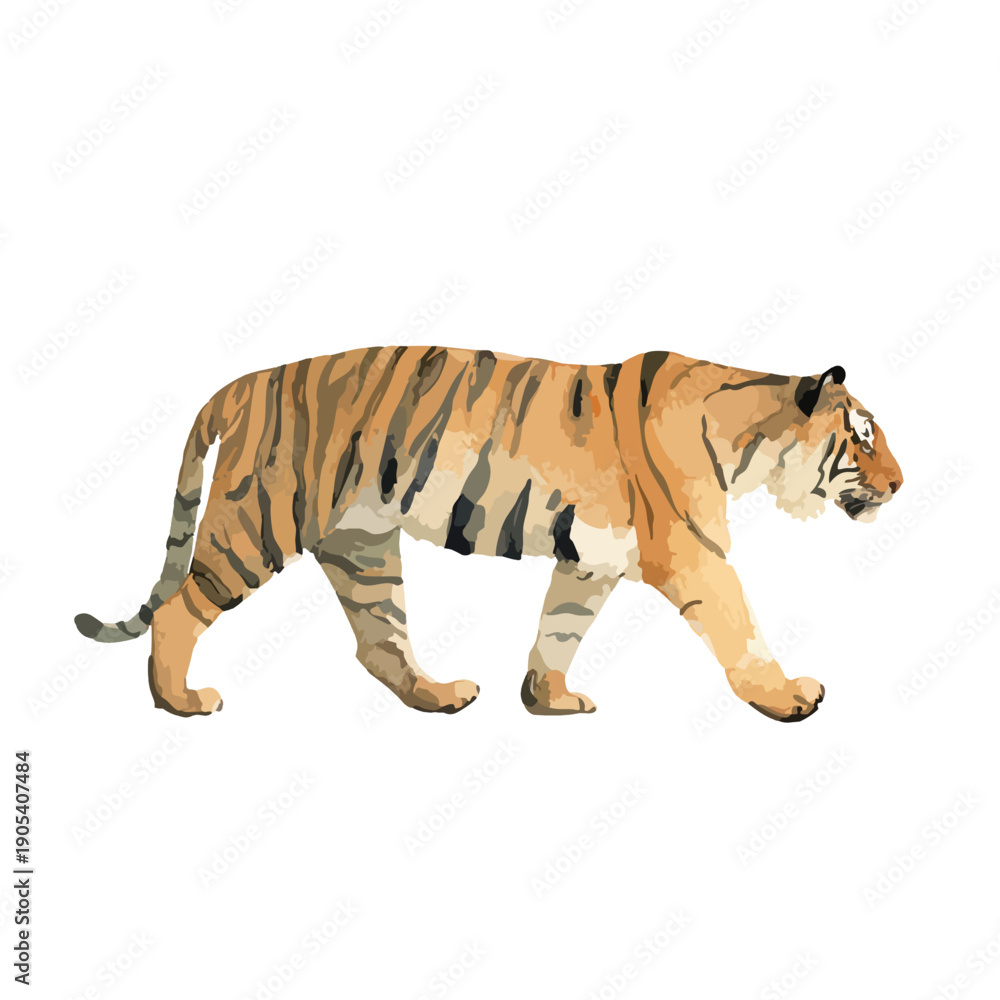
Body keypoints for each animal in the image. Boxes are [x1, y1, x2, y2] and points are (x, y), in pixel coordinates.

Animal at [75, 347, 902, 722]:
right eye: (862, 437)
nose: (899, 484)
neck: (748, 440)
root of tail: (237, 384)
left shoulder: (591, 561)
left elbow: (559, 628)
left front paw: (548, 699)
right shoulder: (693, 550)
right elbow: (739, 623)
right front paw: (788, 694)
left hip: (363, 544)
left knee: (378, 639)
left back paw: (439, 695)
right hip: (257, 525)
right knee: (179, 608)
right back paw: (180, 700)